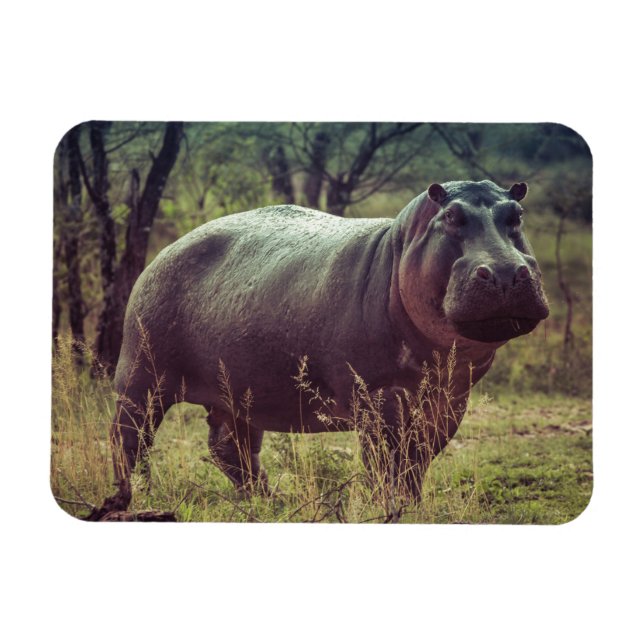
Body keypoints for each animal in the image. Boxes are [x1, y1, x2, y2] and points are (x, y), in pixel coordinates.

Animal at [97, 179, 549, 515]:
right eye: (452, 216)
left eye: (517, 215)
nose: (506, 272)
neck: (399, 248)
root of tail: (166, 250)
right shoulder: (378, 396)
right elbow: (385, 460)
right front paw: (390, 509)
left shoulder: (449, 398)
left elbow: (417, 460)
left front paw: (414, 507)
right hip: (142, 376)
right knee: (129, 438)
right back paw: (135, 496)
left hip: (237, 391)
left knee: (231, 447)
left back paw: (269, 501)